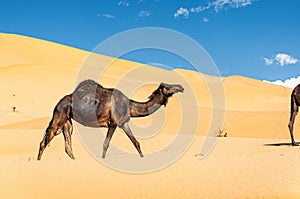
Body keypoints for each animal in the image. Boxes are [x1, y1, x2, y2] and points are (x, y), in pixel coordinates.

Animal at [37, 79, 183, 160]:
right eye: (168, 86)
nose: (181, 87)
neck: (128, 105)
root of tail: (58, 103)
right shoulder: (113, 122)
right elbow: (105, 144)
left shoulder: (123, 123)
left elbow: (136, 143)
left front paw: (143, 158)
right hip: (59, 116)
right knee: (44, 141)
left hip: (67, 122)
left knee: (67, 145)